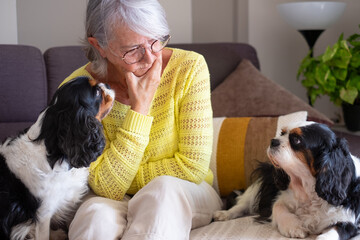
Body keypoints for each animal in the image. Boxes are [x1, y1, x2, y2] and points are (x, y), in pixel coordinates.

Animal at [214, 122, 360, 240]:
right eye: (282, 133)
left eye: (296, 140)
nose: (273, 141)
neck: (307, 189)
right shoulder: (280, 199)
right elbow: (278, 208)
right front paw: (294, 227)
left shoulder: (349, 222)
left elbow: (334, 231)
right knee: (242, 204)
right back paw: (224, 214)